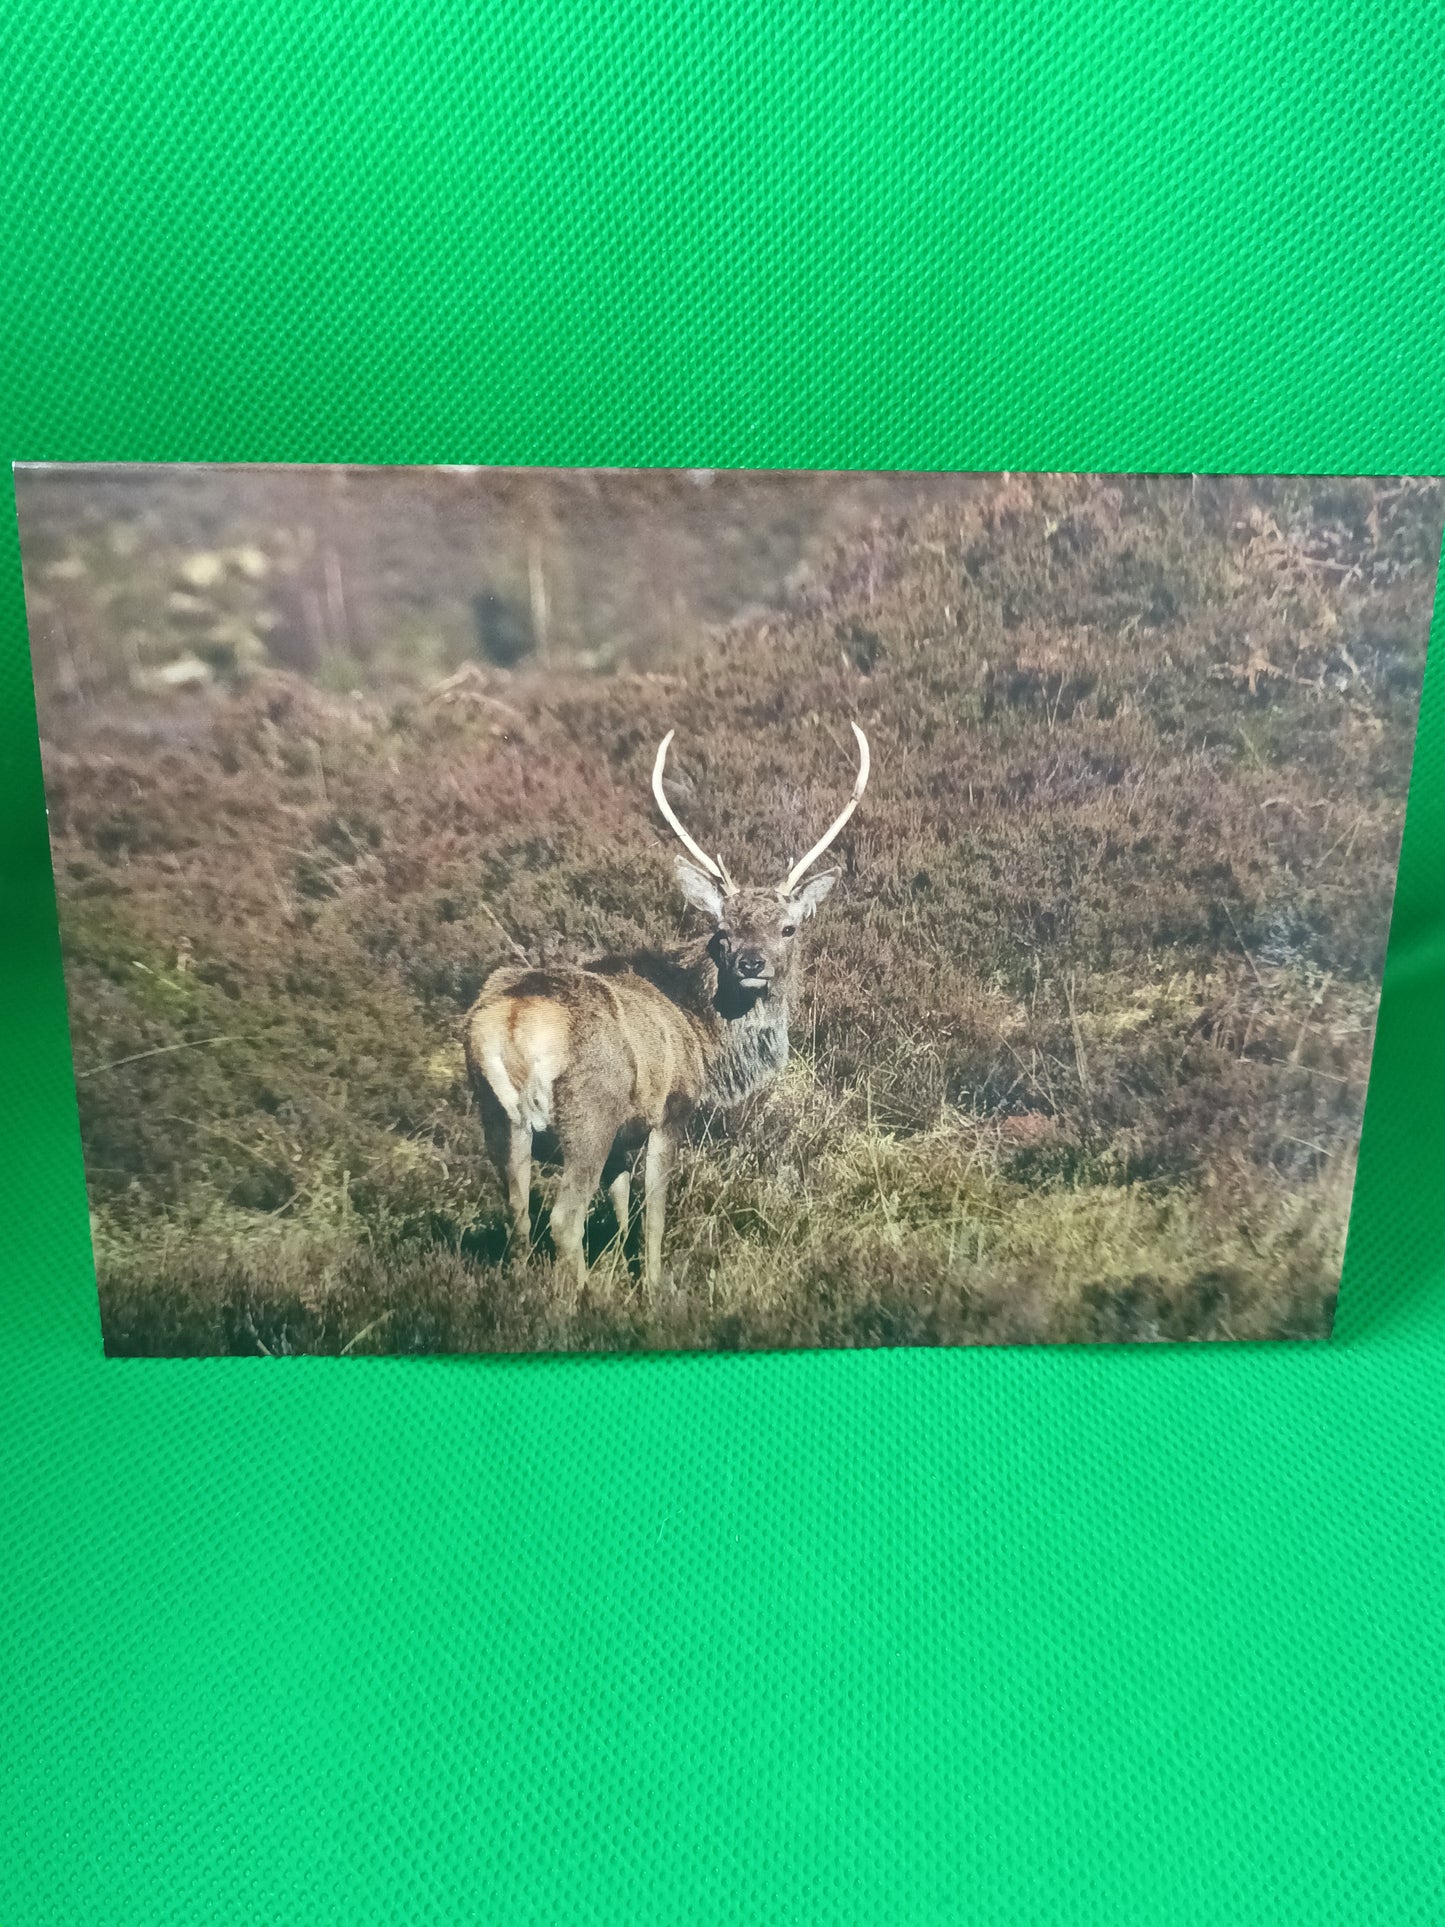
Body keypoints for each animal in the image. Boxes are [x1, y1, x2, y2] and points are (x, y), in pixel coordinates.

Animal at [463, 722, 870, 1292]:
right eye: (722, 930)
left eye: (788, 928)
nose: (751, 962)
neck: (703, 1032)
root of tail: (515, 1021)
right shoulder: (671, 1111)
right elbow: (652, 1213)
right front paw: (655, 1287)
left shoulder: (622, 1139)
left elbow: (618, 1208)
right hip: (589, 1109)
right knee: (563, 1217)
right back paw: (582, 1297)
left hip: (496, 1114)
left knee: (517, 1213)